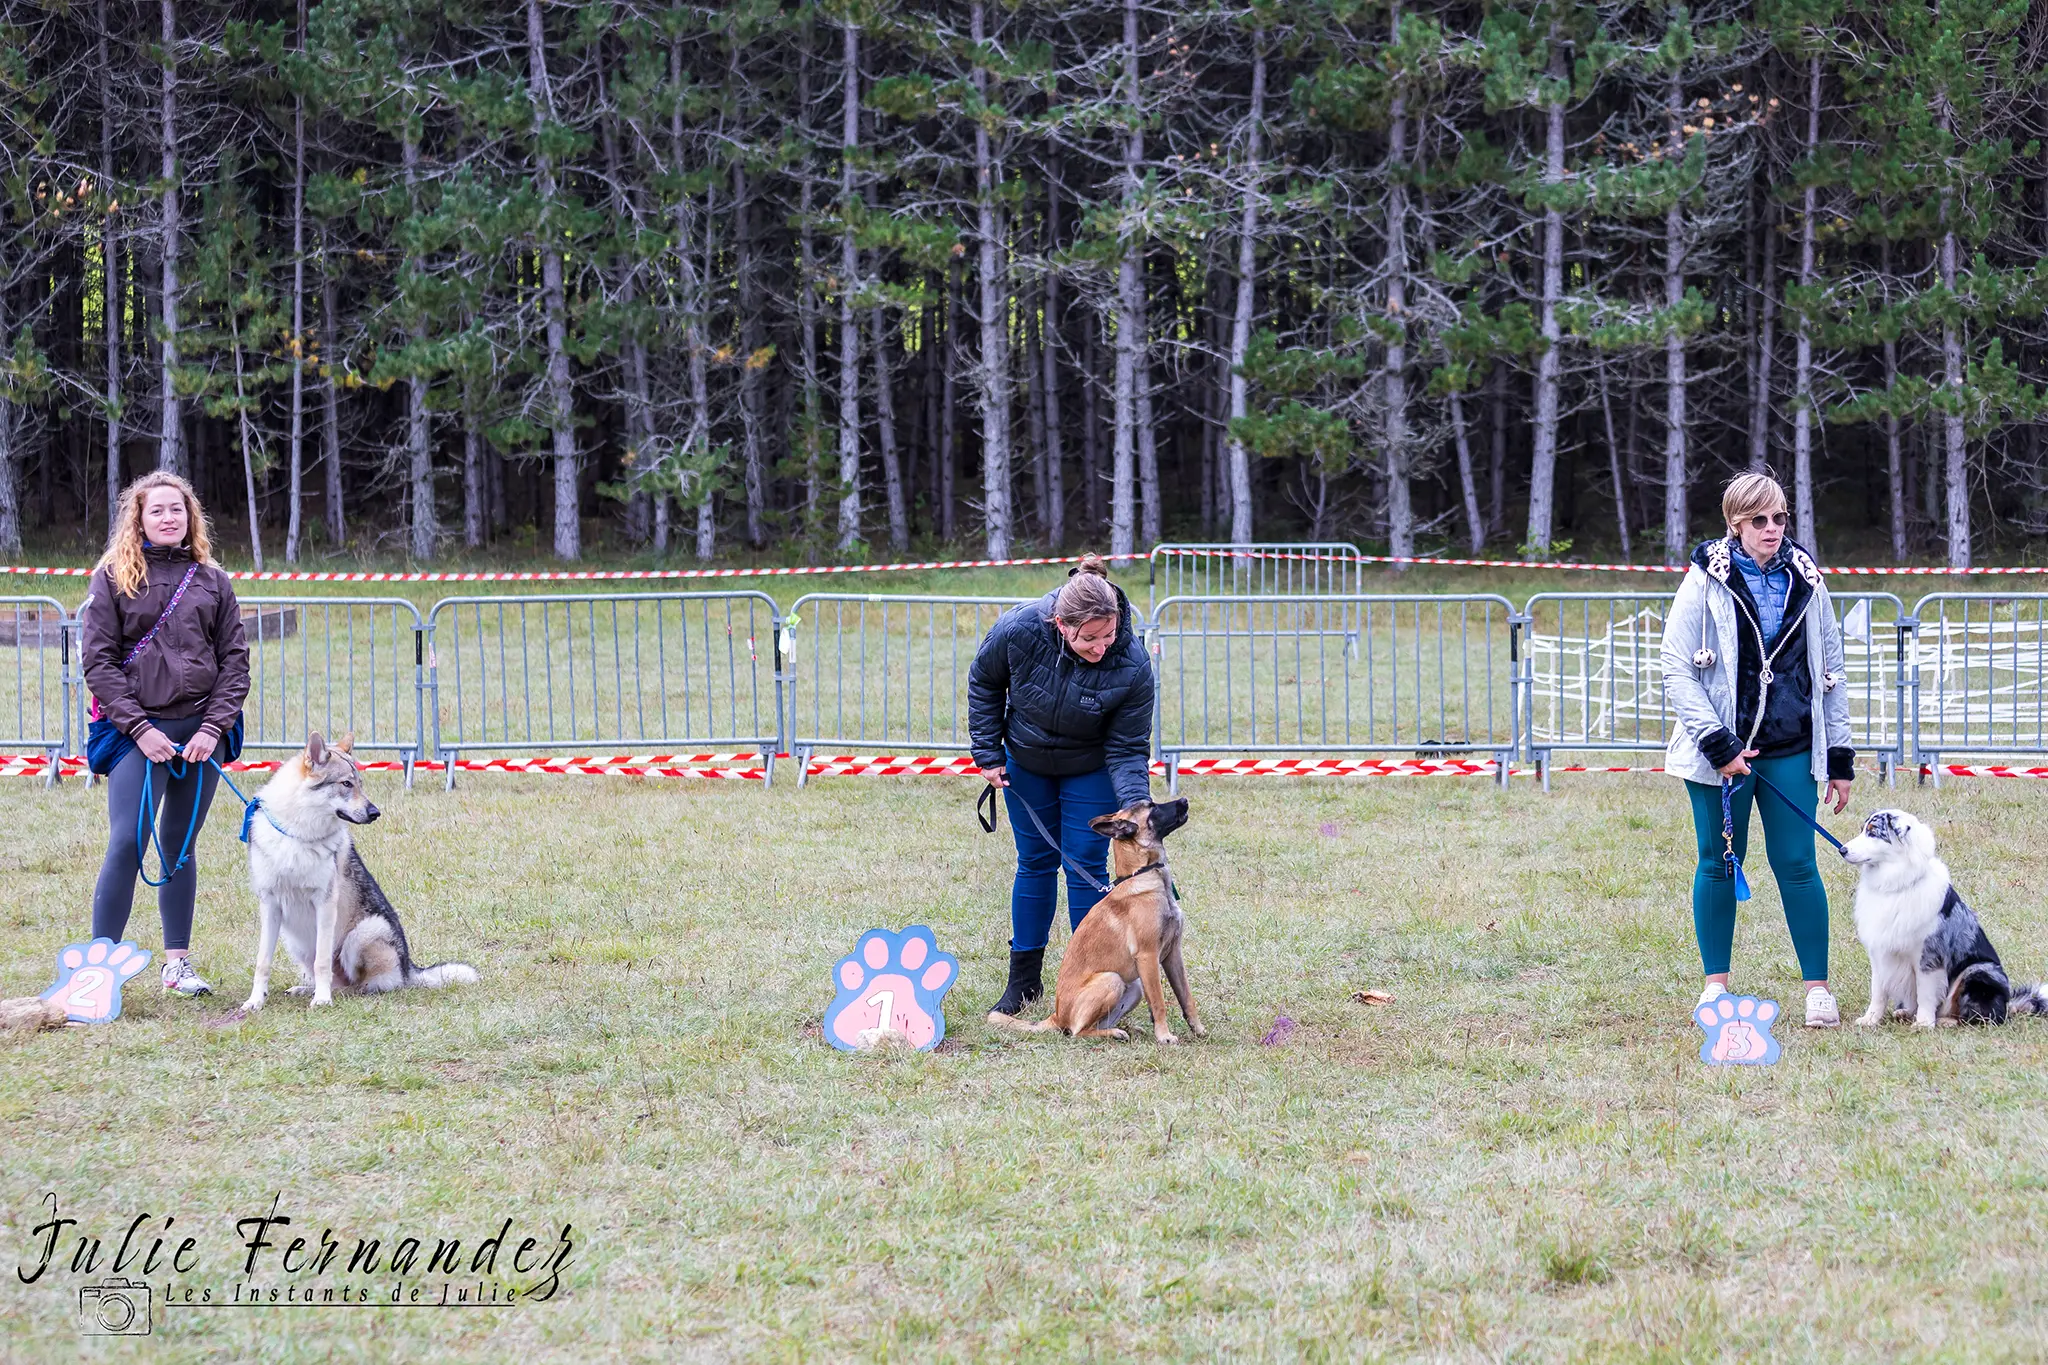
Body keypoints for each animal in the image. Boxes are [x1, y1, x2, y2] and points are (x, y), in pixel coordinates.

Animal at [987, 794, 1204, 1039]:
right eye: (1152, 808)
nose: (1184, 799)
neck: (1143, 874)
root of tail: (1057, 1015)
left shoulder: (1172, 955)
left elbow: (1186, 997)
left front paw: (1198, 1029)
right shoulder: (1148, 956)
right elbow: (1158, 1002)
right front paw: (1164, 1036)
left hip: (1134, 986)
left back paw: (1123, 1029)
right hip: (1112, 979)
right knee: (1077, 1031)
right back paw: (1115, 1033)